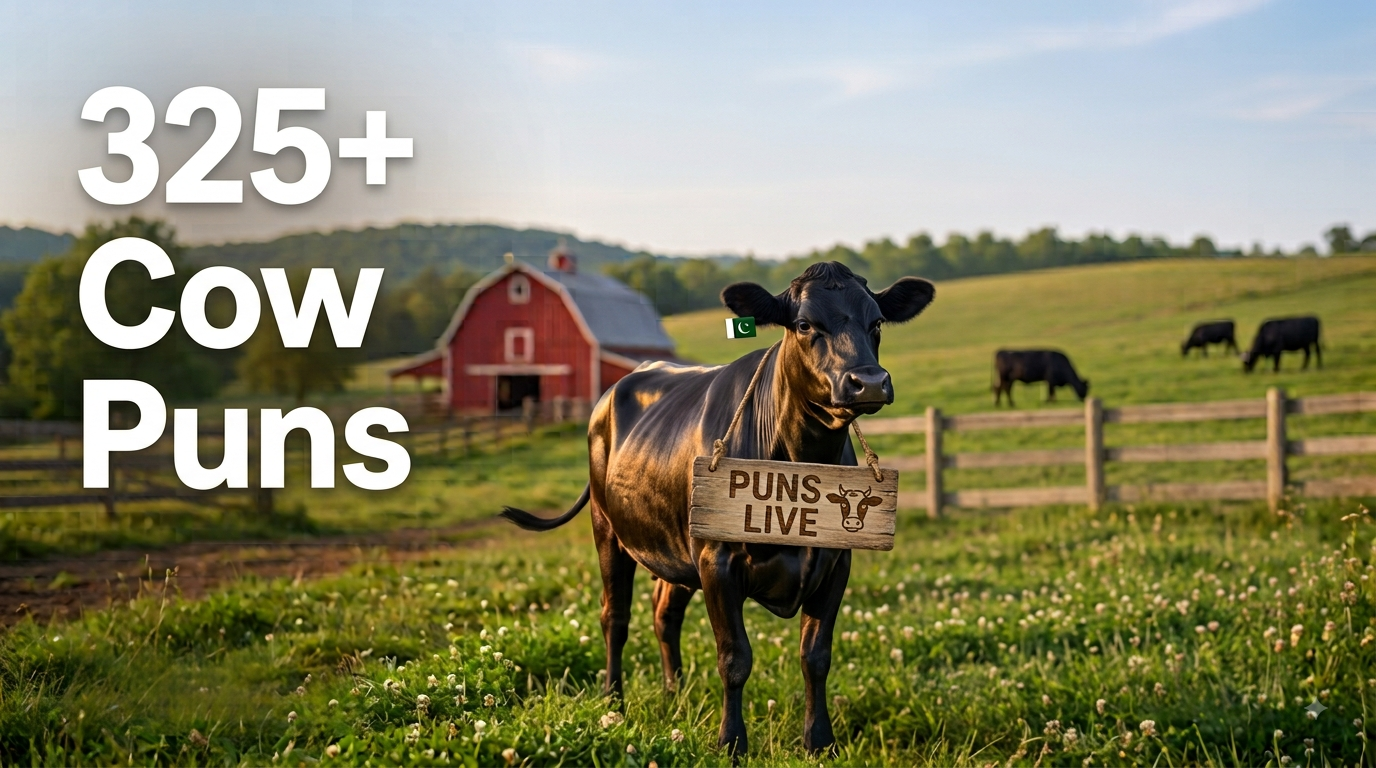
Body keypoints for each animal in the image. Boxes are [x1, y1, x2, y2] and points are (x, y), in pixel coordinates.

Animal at [499, 262, 935, 758]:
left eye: (877, 322)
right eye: (805, 324)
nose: (869, 382)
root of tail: (617, 387)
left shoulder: (835, 563)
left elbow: (816, 657)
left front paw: (820, 742)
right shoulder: (717, 561)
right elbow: (734, 658)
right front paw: (732, 742)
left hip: (674, 546)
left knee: (664, 614)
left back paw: (675, 695)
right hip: (608, 528)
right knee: (615, 616)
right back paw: (614, 702)